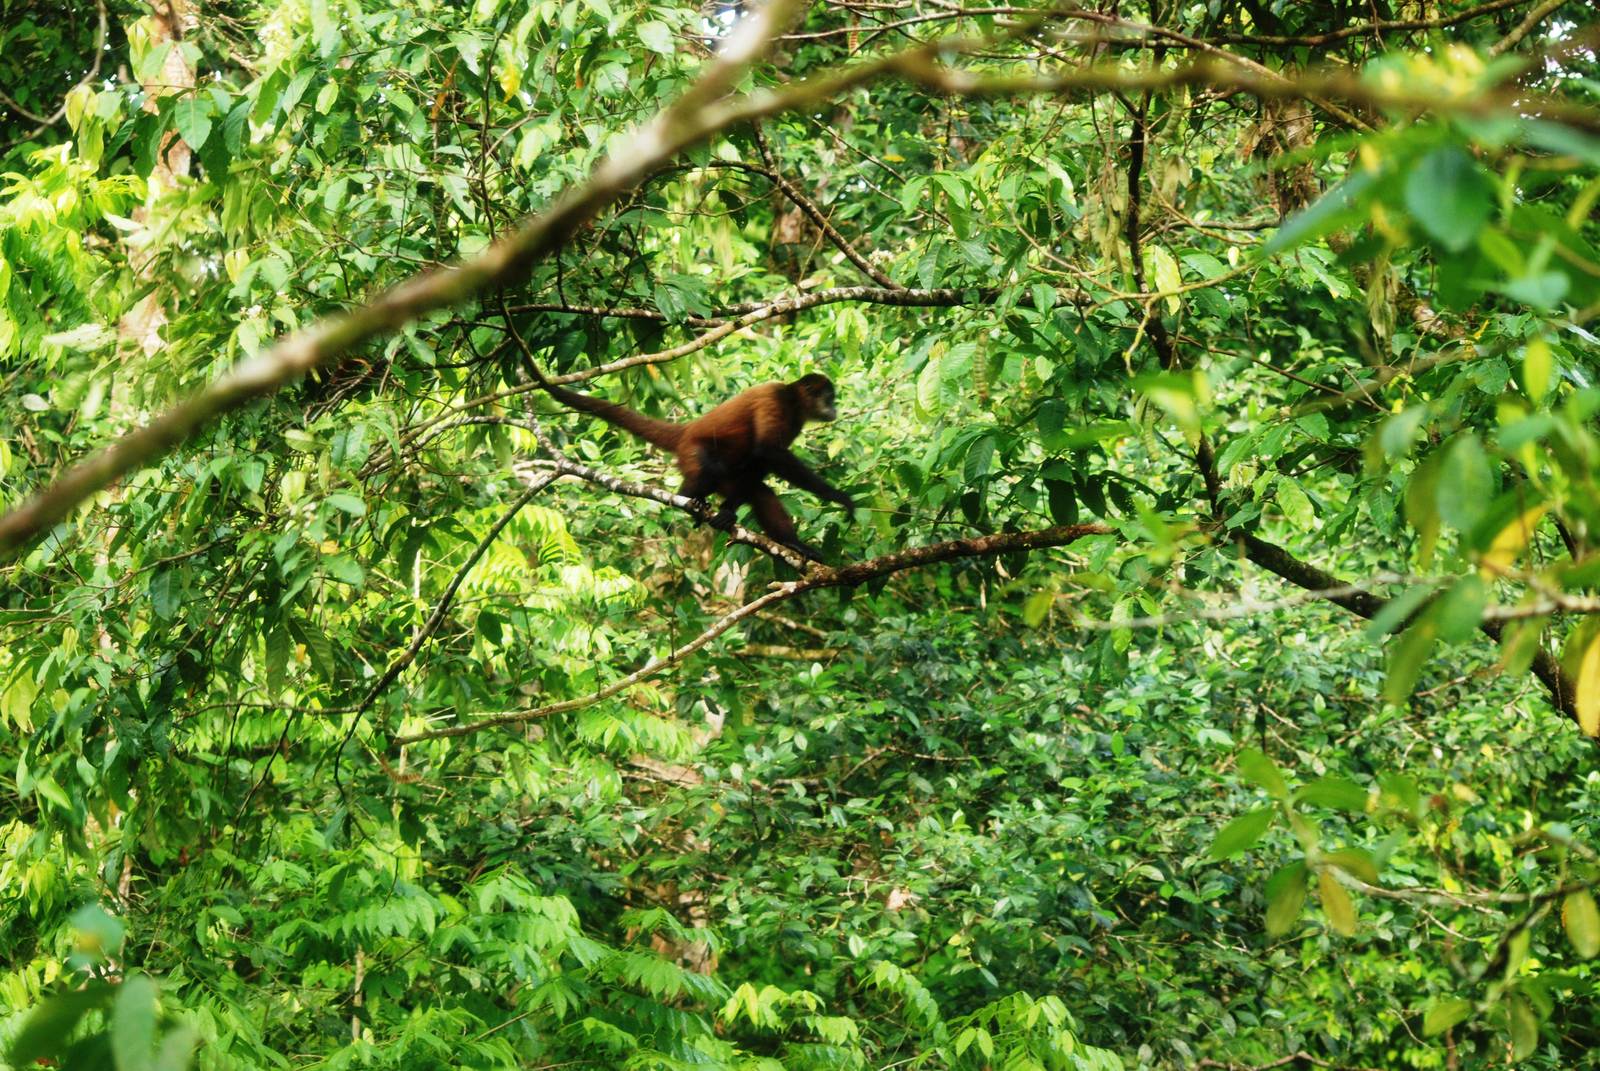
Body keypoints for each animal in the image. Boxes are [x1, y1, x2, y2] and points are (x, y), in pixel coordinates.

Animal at [534, 371, 855, 563]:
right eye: (829, 398)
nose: (835, 408)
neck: (793, 401)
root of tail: (686, 430)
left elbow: (761, 463)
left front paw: (729, 511)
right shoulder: (775, 401)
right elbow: (766, 451)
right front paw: (840, 497)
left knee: (758, 489)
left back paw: (790, 542)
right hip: (692, 451)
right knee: (709, 469)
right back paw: (689, 496)